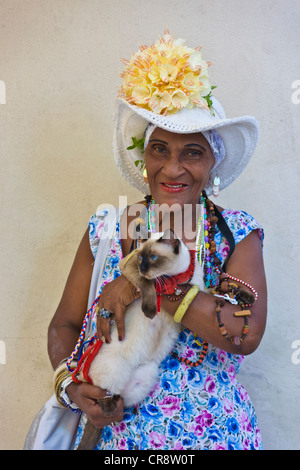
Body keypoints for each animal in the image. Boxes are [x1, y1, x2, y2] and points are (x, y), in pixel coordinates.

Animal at [76, 229, 205, 450]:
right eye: (140, 258)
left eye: (153, 258)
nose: (143, 268)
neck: (175, 278)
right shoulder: (129, 268)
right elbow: (148, 286)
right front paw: (150, 310)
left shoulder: (188, 317)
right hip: (114, 369)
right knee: (102, 393)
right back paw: (108, 409)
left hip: (146, 375)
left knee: (118, 398)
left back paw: (116, 408)